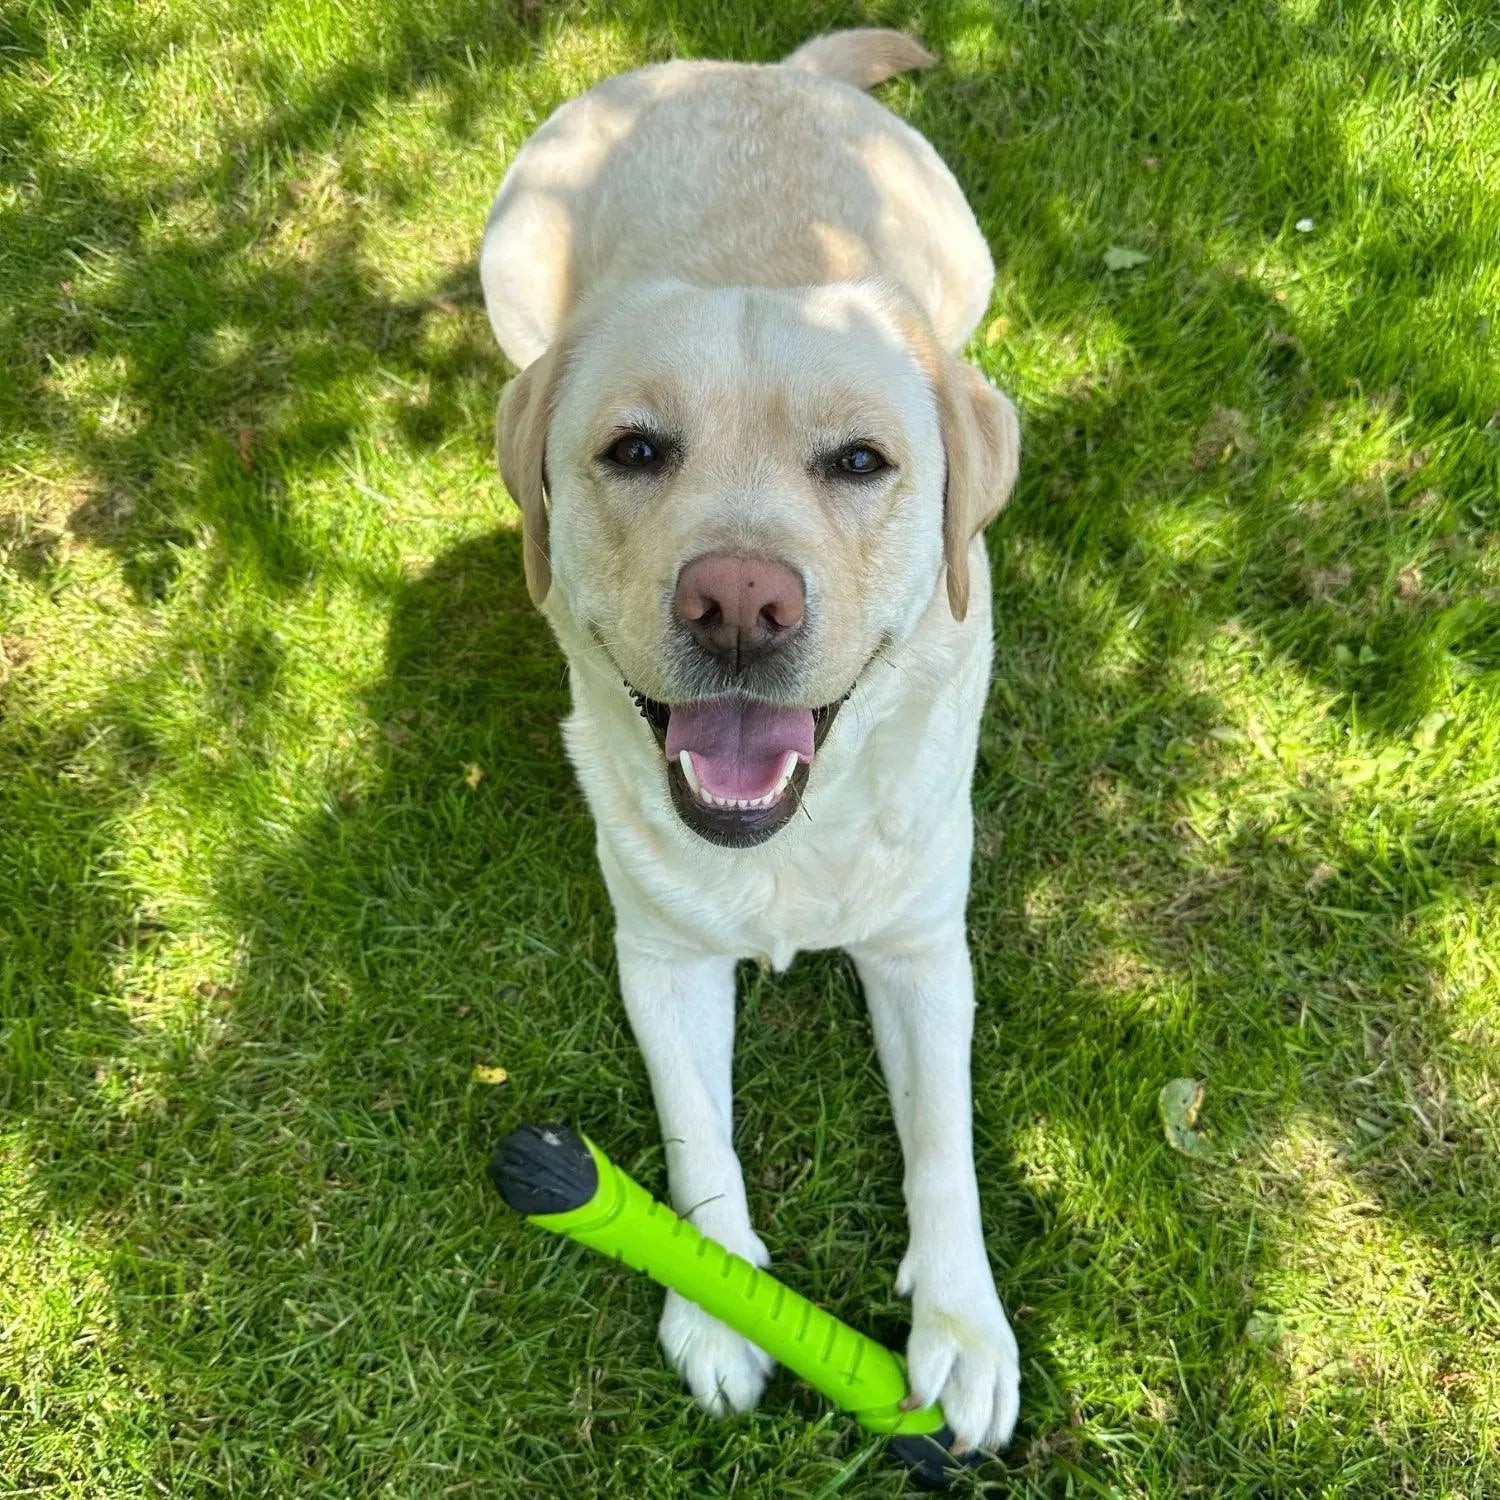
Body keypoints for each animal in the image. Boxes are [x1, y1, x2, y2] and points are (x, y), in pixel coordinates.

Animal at [480, 23, 1020, 1452]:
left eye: (860, 462)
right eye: (635, 450)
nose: (737, 602)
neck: (785, 844)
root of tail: (761, 67)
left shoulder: (922, 947)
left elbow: (945, 1145)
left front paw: (962, 1327)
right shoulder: (660, 956)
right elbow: (694, 1138)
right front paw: (720, 1306)